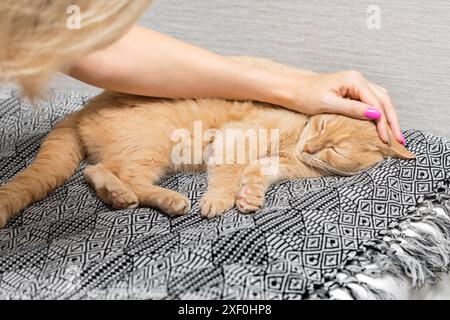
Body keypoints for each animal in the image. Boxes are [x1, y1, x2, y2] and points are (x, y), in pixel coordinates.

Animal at [0, 57, 414, 228]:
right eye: (323, 125)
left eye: (335, 148)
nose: (311, 149)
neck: (296, 140)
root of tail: (85, 107)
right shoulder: (236, 139)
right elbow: (227, 173)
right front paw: (220, 200)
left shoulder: (278, 162)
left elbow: (260, 172)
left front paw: (250, 195)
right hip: (154, 147)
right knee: (118, 173)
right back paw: (163, 199)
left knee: (98, 171)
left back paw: (120, 197)